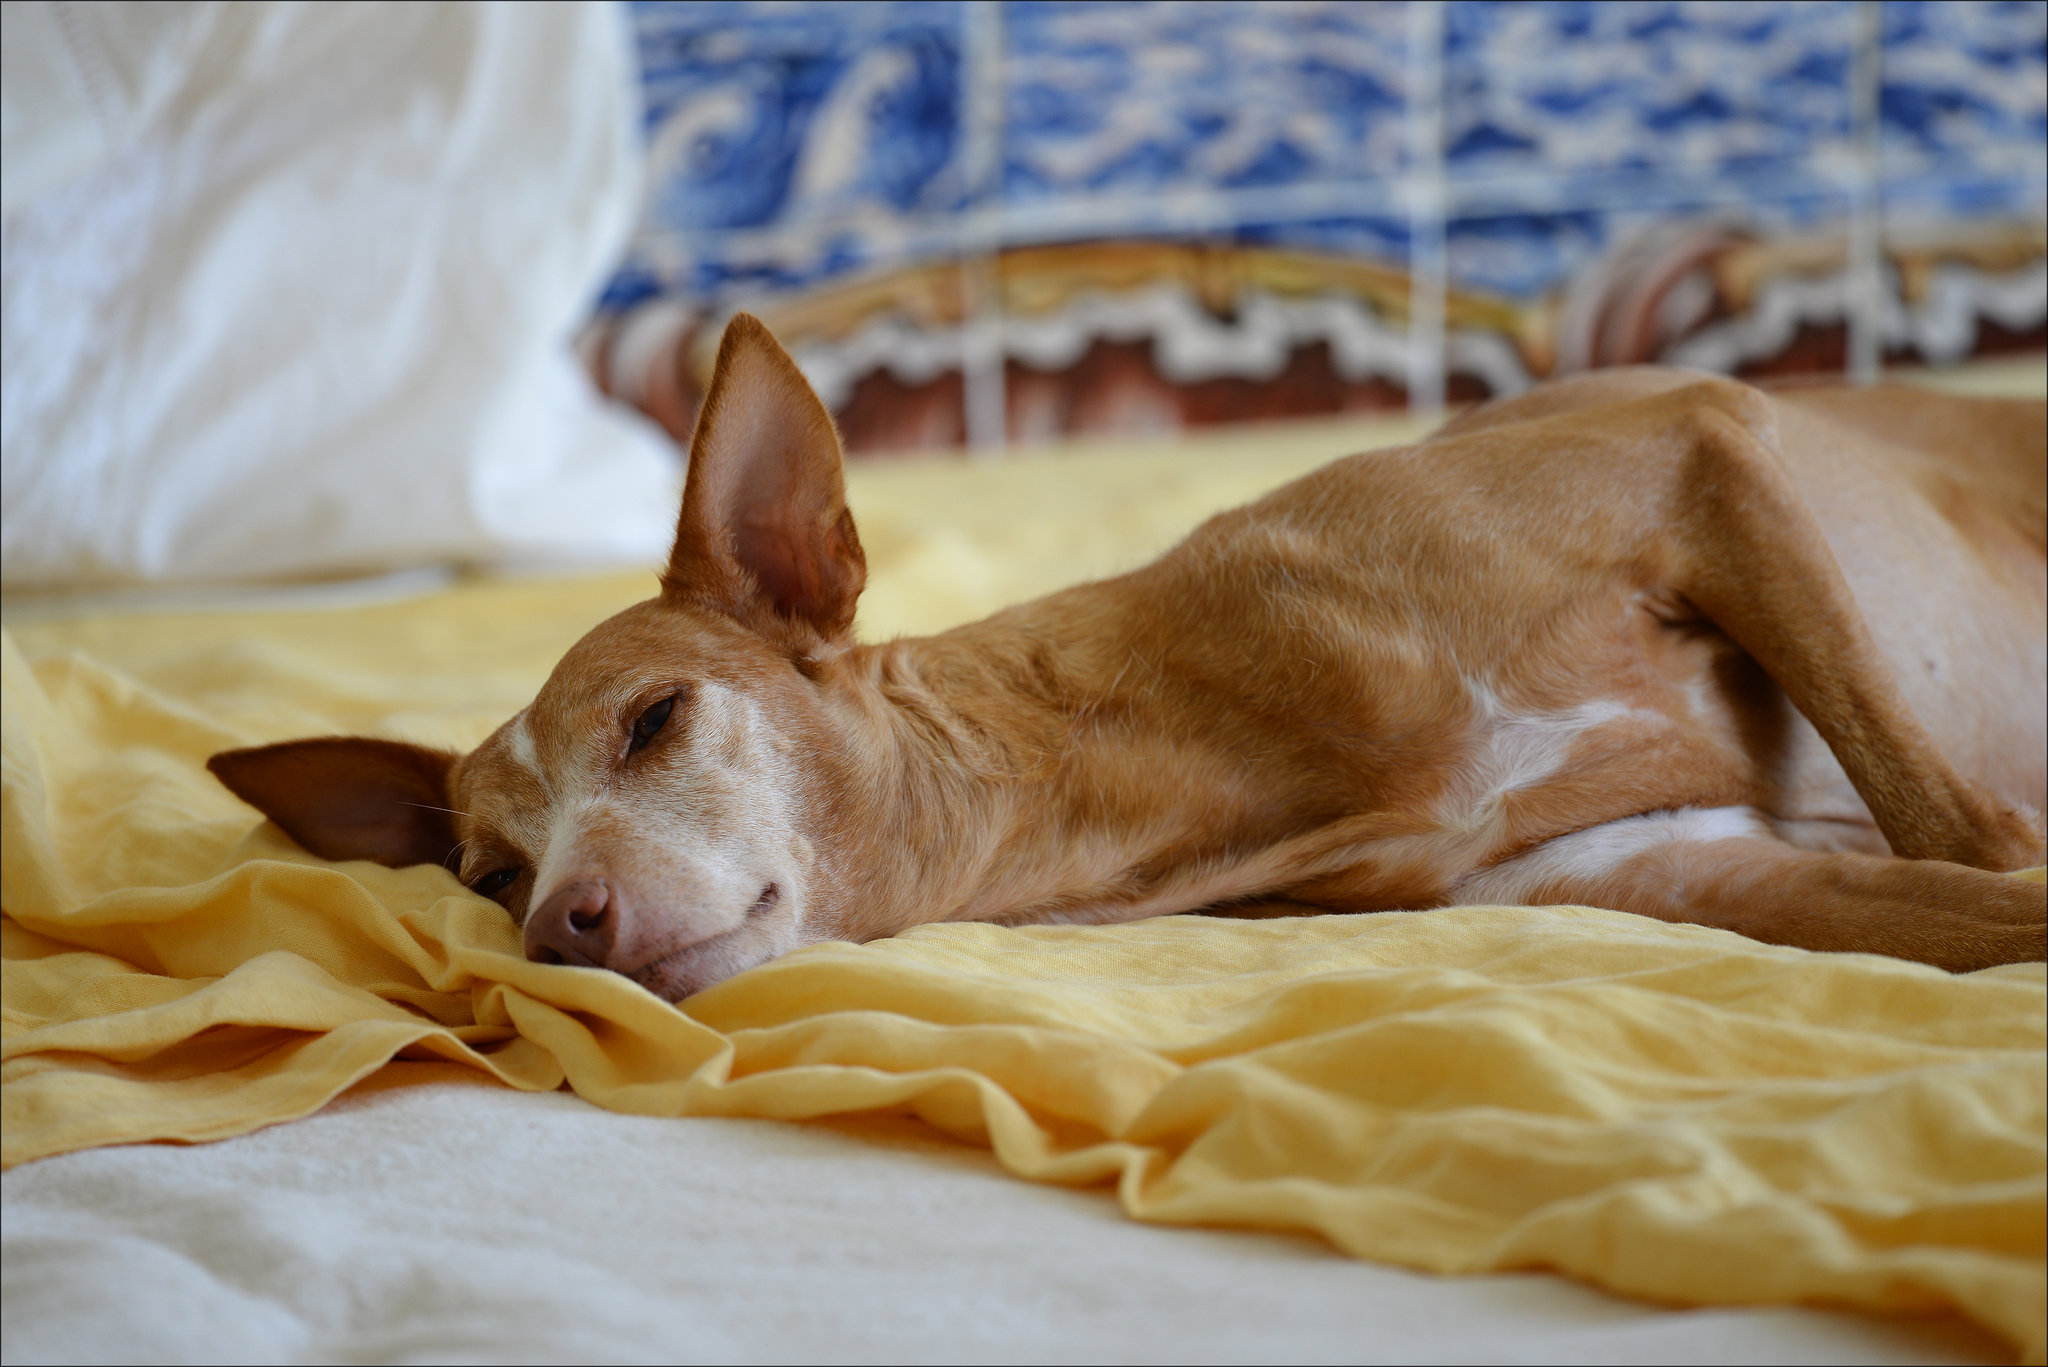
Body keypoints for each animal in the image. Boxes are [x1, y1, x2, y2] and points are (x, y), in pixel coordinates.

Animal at [211, 309, 2048, 1000]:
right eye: (483, 872)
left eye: (656, 718)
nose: (557, 930)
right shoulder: (1676, 874)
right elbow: (1977, 908)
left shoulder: (1700, 449)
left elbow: (1959, 821)